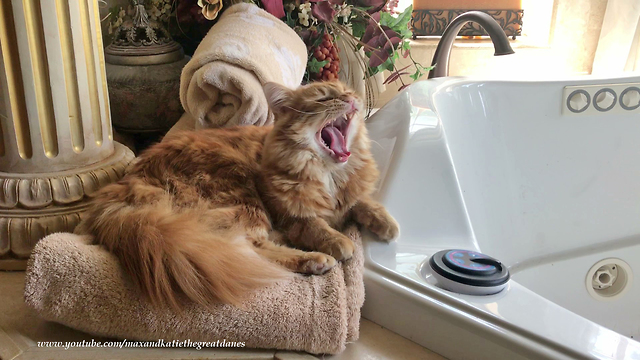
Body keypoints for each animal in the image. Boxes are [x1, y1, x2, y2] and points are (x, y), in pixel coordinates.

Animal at [76, 81, 400, 310]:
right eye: (323, 97)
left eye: (347, 91)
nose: (350, 98)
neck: (331, 175)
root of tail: (124, 186)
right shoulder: (290, 216)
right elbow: (317, 226)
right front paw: (340, 241)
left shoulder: (351, 195)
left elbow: (363, 202)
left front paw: (387, 224)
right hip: (241, 193)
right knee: (248, 249)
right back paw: (315, 260)